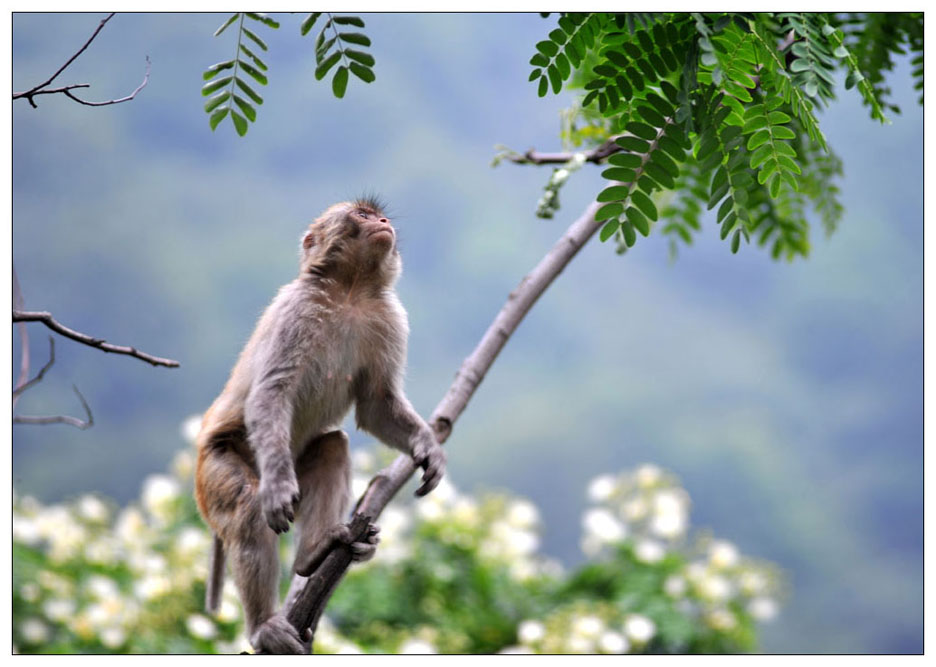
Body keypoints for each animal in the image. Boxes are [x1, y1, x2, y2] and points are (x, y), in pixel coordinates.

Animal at [193, 197, 446, 652]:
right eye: (362, 215)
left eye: (377, 215)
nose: (383, 222)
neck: (350, 291)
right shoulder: (297, 311)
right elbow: (270, 393)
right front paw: (277, 490)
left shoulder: (389, 318)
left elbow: (376, 405)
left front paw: (428, 448)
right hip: (214, 469)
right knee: (247, 509)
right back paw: (264, 624)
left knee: (333, 447)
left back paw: (314, 552)